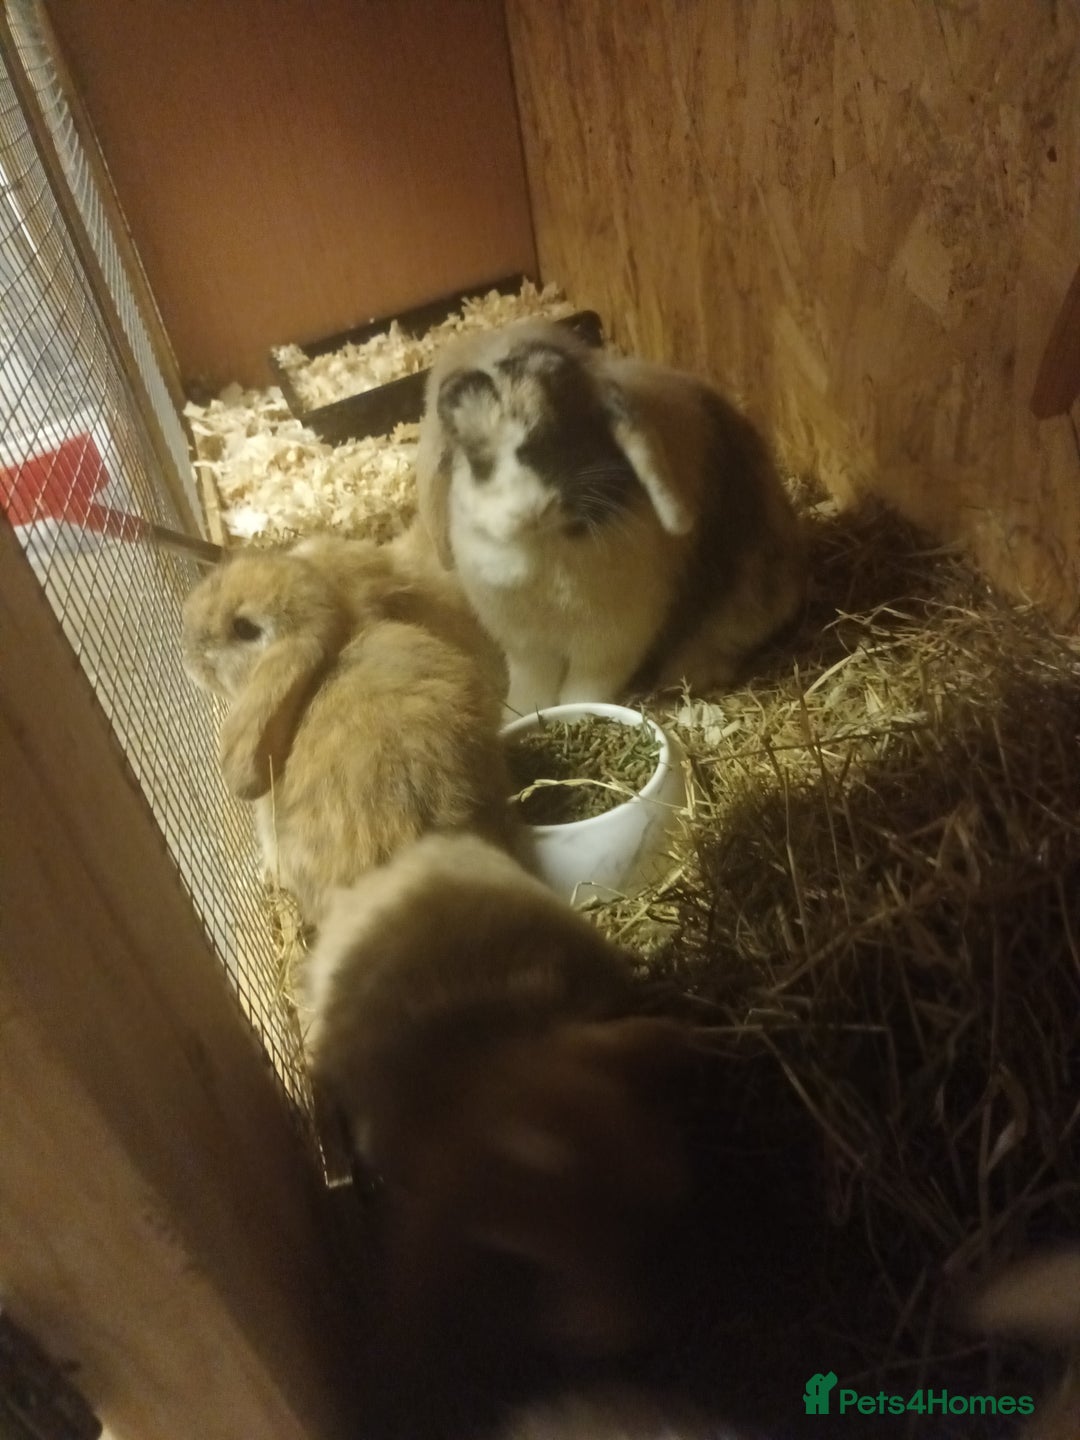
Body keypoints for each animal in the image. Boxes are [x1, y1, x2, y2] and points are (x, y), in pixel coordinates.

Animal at [415, 319, 806, 715]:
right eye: (476, 459)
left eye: (562, 435)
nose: (532, 511)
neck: (545, 546)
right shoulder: (527, 645)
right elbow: (531, 685)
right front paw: (518, 715)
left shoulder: (611, 641)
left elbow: (585, 687)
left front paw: (577, 715)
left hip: (744, 604)